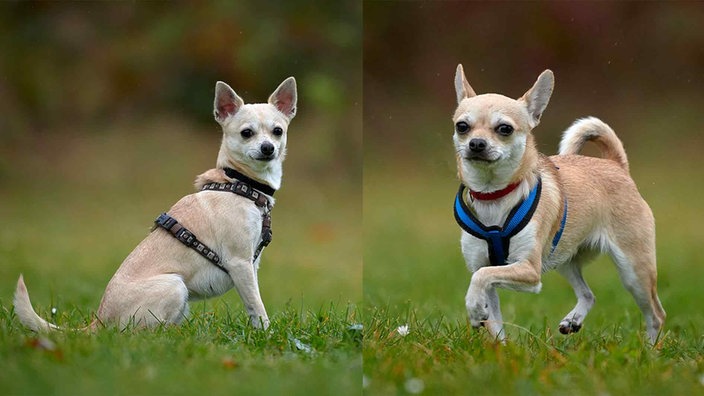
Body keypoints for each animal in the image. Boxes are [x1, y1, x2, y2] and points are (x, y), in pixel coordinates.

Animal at [452, 65, 664, 344]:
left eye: (505, 129)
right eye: (462, 126)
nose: (476, 143)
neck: (493, 196)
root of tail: (615, 165)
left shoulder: (530, 271)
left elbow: (481, 277)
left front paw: (474, 308)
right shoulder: (486, 267)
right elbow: (492, 314)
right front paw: (498, 344)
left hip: (634, 271)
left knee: (656, 315)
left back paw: (649, 350)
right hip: (565, 260)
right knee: (588, 294)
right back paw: (573, 320)